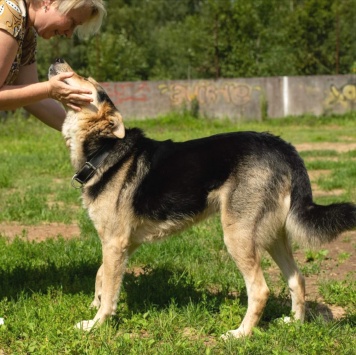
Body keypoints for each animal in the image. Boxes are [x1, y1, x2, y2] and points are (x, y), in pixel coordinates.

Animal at [49, 58, 356, 340]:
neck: (104, 149)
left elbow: (110, 286)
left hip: (238, 235)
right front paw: (95, 303)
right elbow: (101, 274)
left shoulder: (114, 242)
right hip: (273, 235)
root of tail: (282, 146)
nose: (57, 60)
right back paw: (294, 323)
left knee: (260, 290)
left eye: (89, 83)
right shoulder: (124, 242)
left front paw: (96, 324)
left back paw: (240, 334)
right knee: (297, 278)